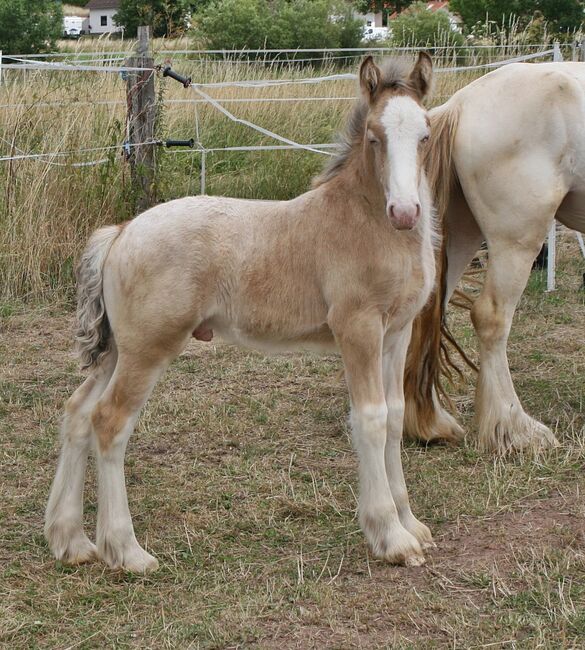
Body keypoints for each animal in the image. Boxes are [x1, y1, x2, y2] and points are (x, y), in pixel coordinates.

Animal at [46, 55, 438, 572]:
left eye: (425, 134)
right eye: (375, 137)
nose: (405, 212)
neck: (367, 223)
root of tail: (122, 231)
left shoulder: (396, 334)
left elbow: (394, 418)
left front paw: (412, 524)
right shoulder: (358, 329)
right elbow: (370, 420)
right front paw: (391, 537)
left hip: (118, 350)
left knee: (77, 412)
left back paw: (70, 540)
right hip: (148, 349)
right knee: (109, 422)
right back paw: (127, 550)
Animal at [404, 63, 584, 454]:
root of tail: (461, 104)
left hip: (463, 232)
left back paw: (428, 424)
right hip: (516, 239)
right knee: (491, 317)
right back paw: (515, 429)